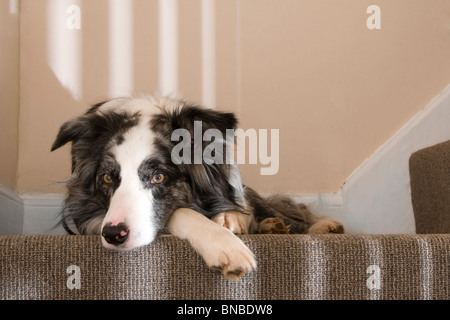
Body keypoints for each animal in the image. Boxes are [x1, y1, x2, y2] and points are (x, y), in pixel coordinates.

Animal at [51, 95, 342, 280]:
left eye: (158, 177)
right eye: (107, 178)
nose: (113, 235)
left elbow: (237, 206)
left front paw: (230, 219)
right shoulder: (90, 216)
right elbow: (182, 212)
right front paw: (224, 244)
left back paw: (314, 226)